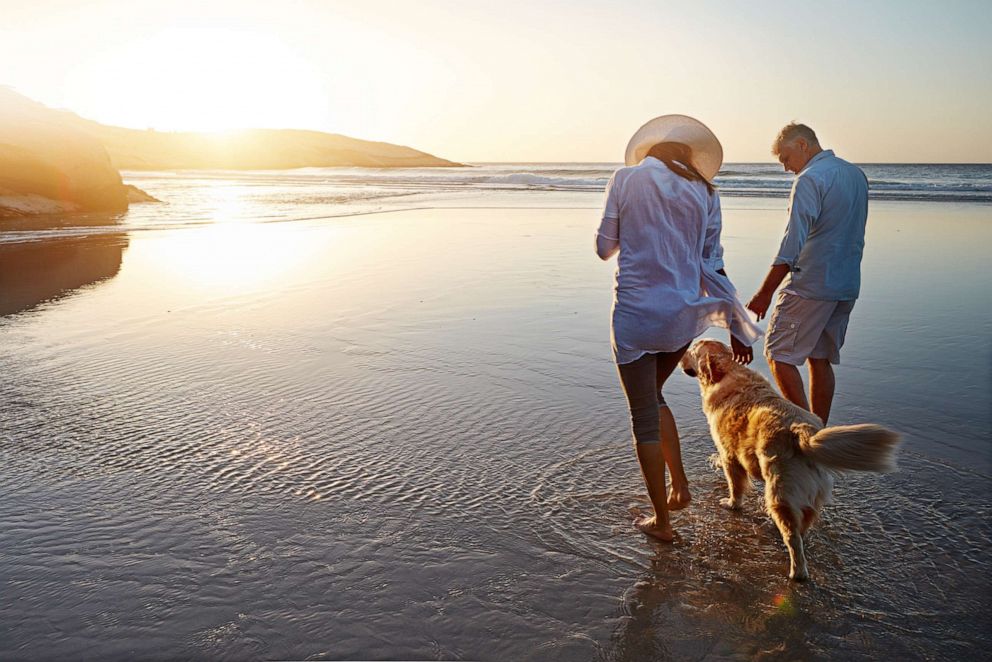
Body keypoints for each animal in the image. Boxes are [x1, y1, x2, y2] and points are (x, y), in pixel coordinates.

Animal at [680, 342, 900, 580]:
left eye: (692, 350)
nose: (680, 355)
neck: (728, 372)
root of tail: (803, 432)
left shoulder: (730, 453)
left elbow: (735, 485)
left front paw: (731, 503)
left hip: (780, 492)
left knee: (793, 537)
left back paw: (797, 572)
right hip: (811, 492)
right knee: (804, 523)